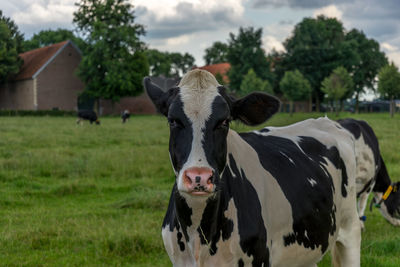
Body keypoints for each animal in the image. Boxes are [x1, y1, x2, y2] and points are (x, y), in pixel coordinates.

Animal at [144, 69, 360, 267]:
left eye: (224, 121)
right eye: (173, 120)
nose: (199, 177)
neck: (199, 238)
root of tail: (326, 120)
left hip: (350, 230)